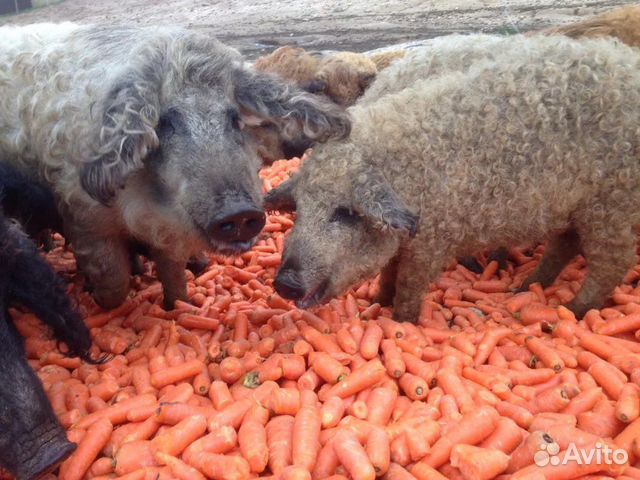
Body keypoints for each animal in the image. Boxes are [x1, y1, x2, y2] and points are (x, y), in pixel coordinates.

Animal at [0, 23, 350, 312]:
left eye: (233, 117)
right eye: (165, 122)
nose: (239, 213)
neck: (148, 204)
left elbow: (172, 270)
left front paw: (179, 305)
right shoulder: (82, 216)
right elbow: (114, 280)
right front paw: (101, 302)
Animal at [268, 35, 640, 322]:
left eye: (345, 213)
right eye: (300, 208)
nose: (284, 283)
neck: (408, 176)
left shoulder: (435, 239)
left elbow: (410, 284)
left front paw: (400, 320)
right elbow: (389, 271)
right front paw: (377, 302)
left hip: (614, 205)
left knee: (612, 262)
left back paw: (573, 311)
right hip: (576, 207)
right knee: (566, 245)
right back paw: (523, 288)